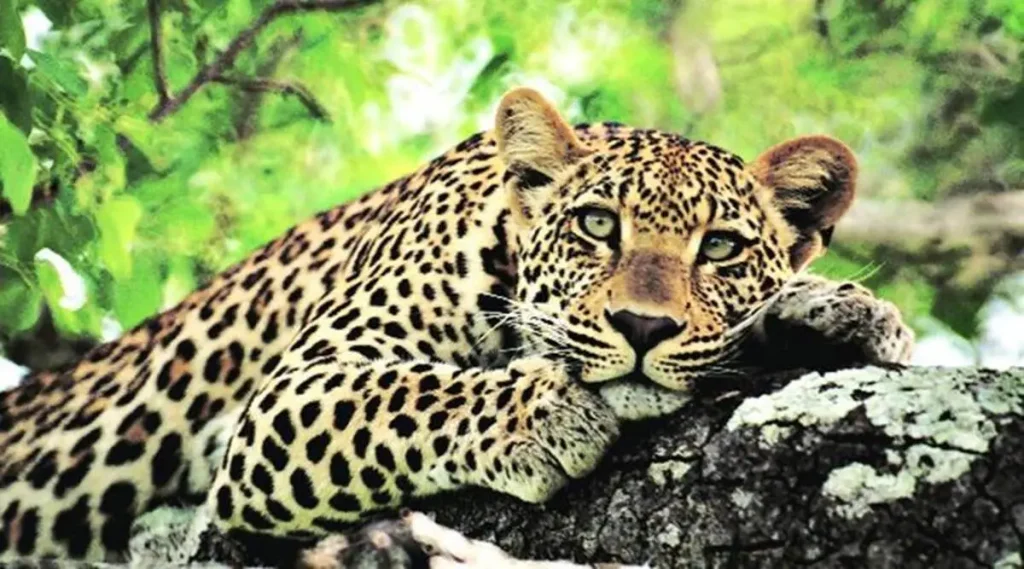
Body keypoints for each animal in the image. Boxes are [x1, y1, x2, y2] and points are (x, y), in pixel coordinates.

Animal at [0, 87, 913, 566]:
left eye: (720, 247)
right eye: (595, 226)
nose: (642, 326)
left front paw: (843, 310)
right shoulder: (293, 391)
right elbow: (402, 393)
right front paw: (541, 415)